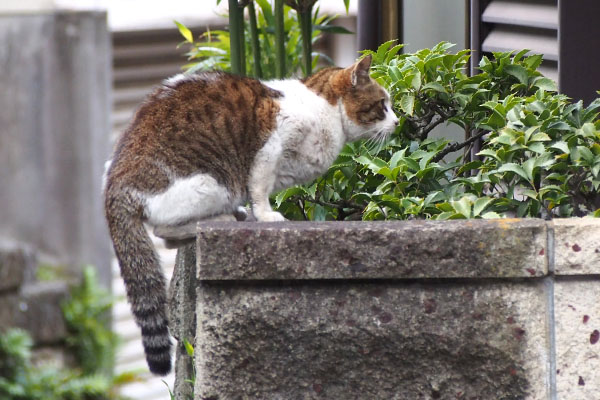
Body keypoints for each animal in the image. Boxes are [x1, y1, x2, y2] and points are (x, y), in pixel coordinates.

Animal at [103, 54, 398, 376]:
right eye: (382, 104)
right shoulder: (268, 147)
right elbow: (260, 189)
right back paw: (222, 219)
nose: (398, 121)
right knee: (164, 231)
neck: (325, 109)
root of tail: (114, 185)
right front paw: (267, 216)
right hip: (212, 185)